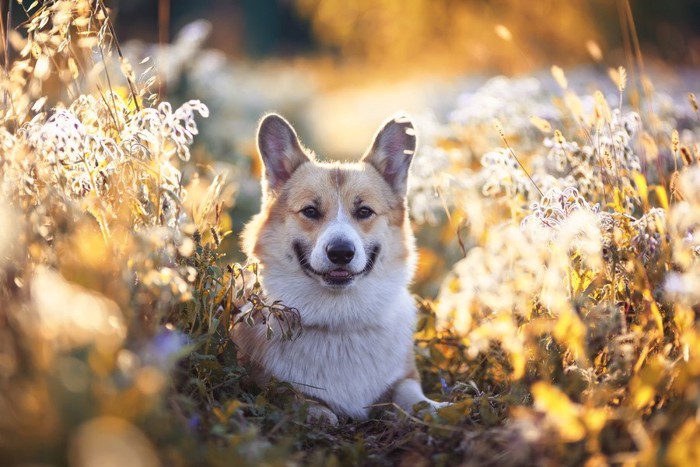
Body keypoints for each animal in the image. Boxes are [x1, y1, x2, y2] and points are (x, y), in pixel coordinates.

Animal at [232, 113, 446, 424]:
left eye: (364, 211)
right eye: (310, 211)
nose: (341, 253)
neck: (340, 319)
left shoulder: (405, 377)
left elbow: (412, 395)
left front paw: (436, 408)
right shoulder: (260, 380)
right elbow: (289, 392)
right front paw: (318, 412)